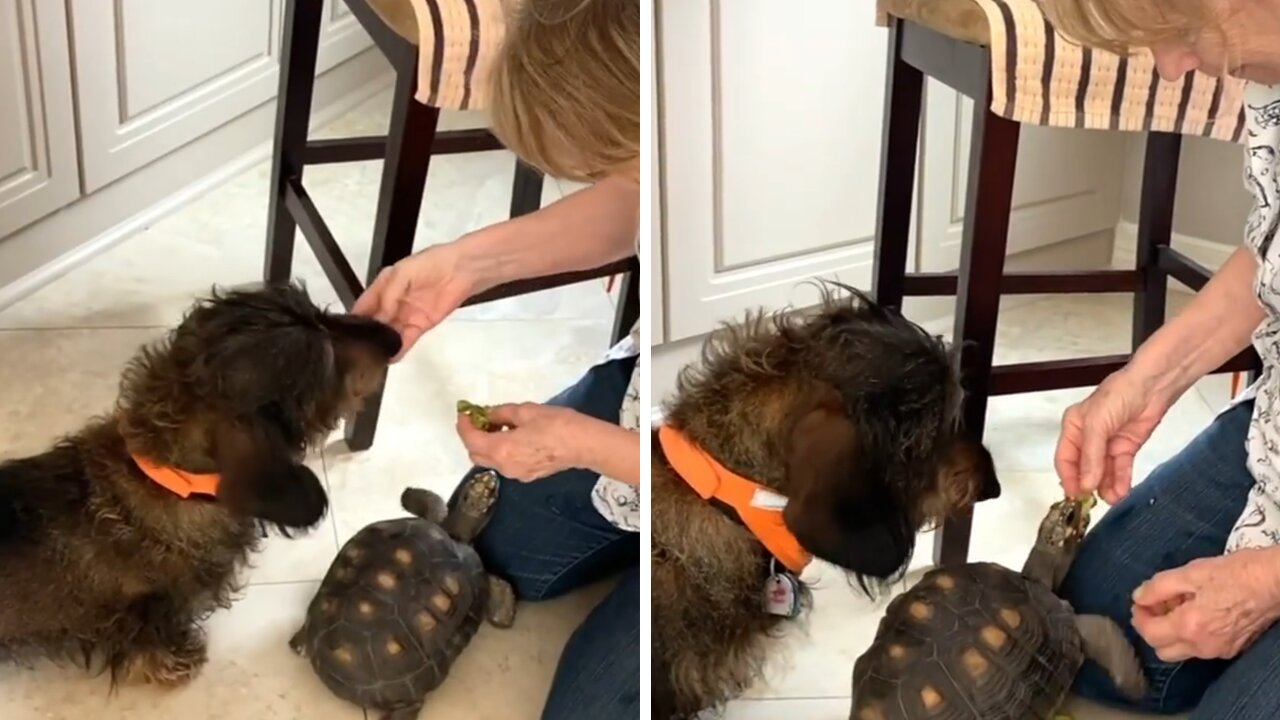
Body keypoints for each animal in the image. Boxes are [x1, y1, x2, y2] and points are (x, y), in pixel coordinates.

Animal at [0, 280, 399, 681]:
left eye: (320, 312)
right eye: (327, 360)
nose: (394, 339)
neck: (171, 481)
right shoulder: (149, 610)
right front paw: (180, 662)